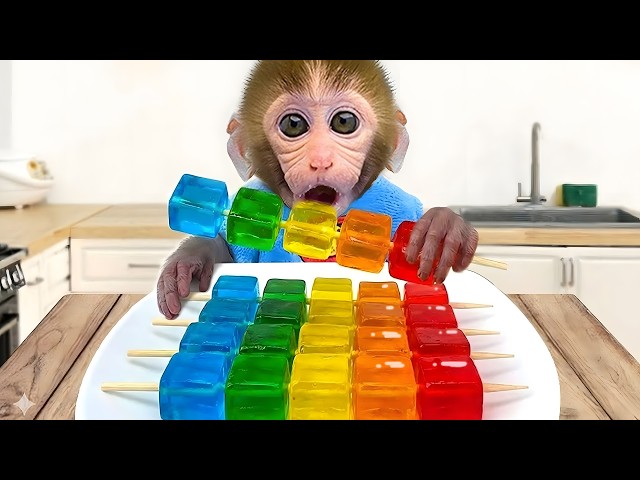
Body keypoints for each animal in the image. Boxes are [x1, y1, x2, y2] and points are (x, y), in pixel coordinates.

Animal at [156, 60, 479, 320]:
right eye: (293, 124)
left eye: (344, 122)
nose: (321, 159)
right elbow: (229, 252)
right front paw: (190, 259)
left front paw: (441, 230)